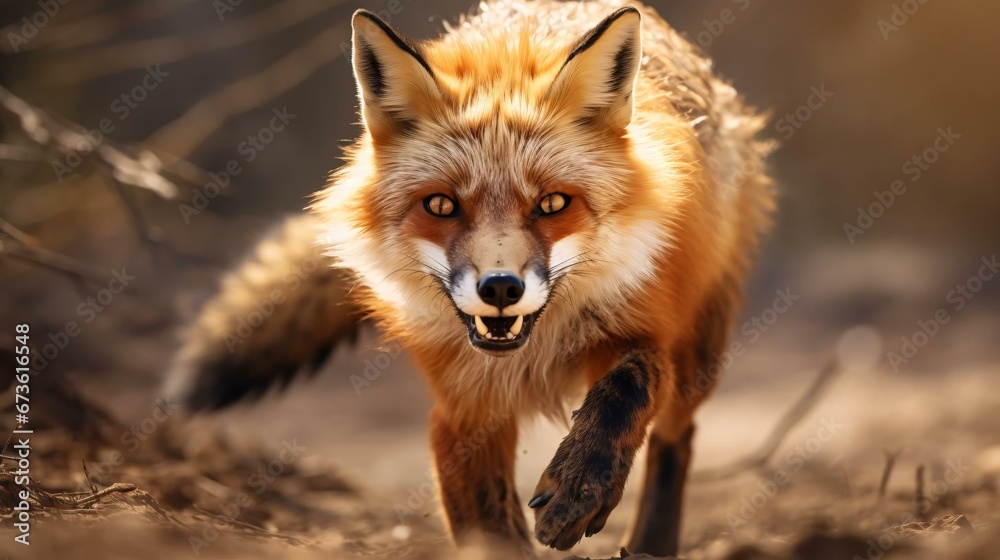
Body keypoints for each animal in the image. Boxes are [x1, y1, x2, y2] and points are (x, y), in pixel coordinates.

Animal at [166, 0, 775, 556]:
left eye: (553, 203)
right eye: (440, 205)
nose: (500, 288)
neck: (532, 356)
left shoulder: (644, 331)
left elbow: (629, 385)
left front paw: (580, 485)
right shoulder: (461, 412)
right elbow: (490, 530)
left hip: (700, 352)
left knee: (678, 435)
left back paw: (652, 542)